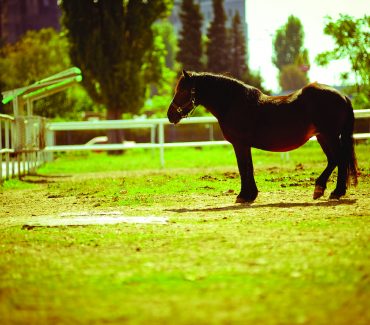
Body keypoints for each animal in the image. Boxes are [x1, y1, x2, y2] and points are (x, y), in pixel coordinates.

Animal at [168, 70, 358, 202]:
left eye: (183, 90)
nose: (170, 115)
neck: (233, 104)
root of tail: (343, 96)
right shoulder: (244, 145)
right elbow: (248, 167)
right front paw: (251, 195)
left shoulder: (239, 144)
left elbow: (243, 168)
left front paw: (243, 195)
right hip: (322, 137)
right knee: (334, 160)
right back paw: (324, 189)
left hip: (329, 135)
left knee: (340, 159)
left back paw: (333, 191)